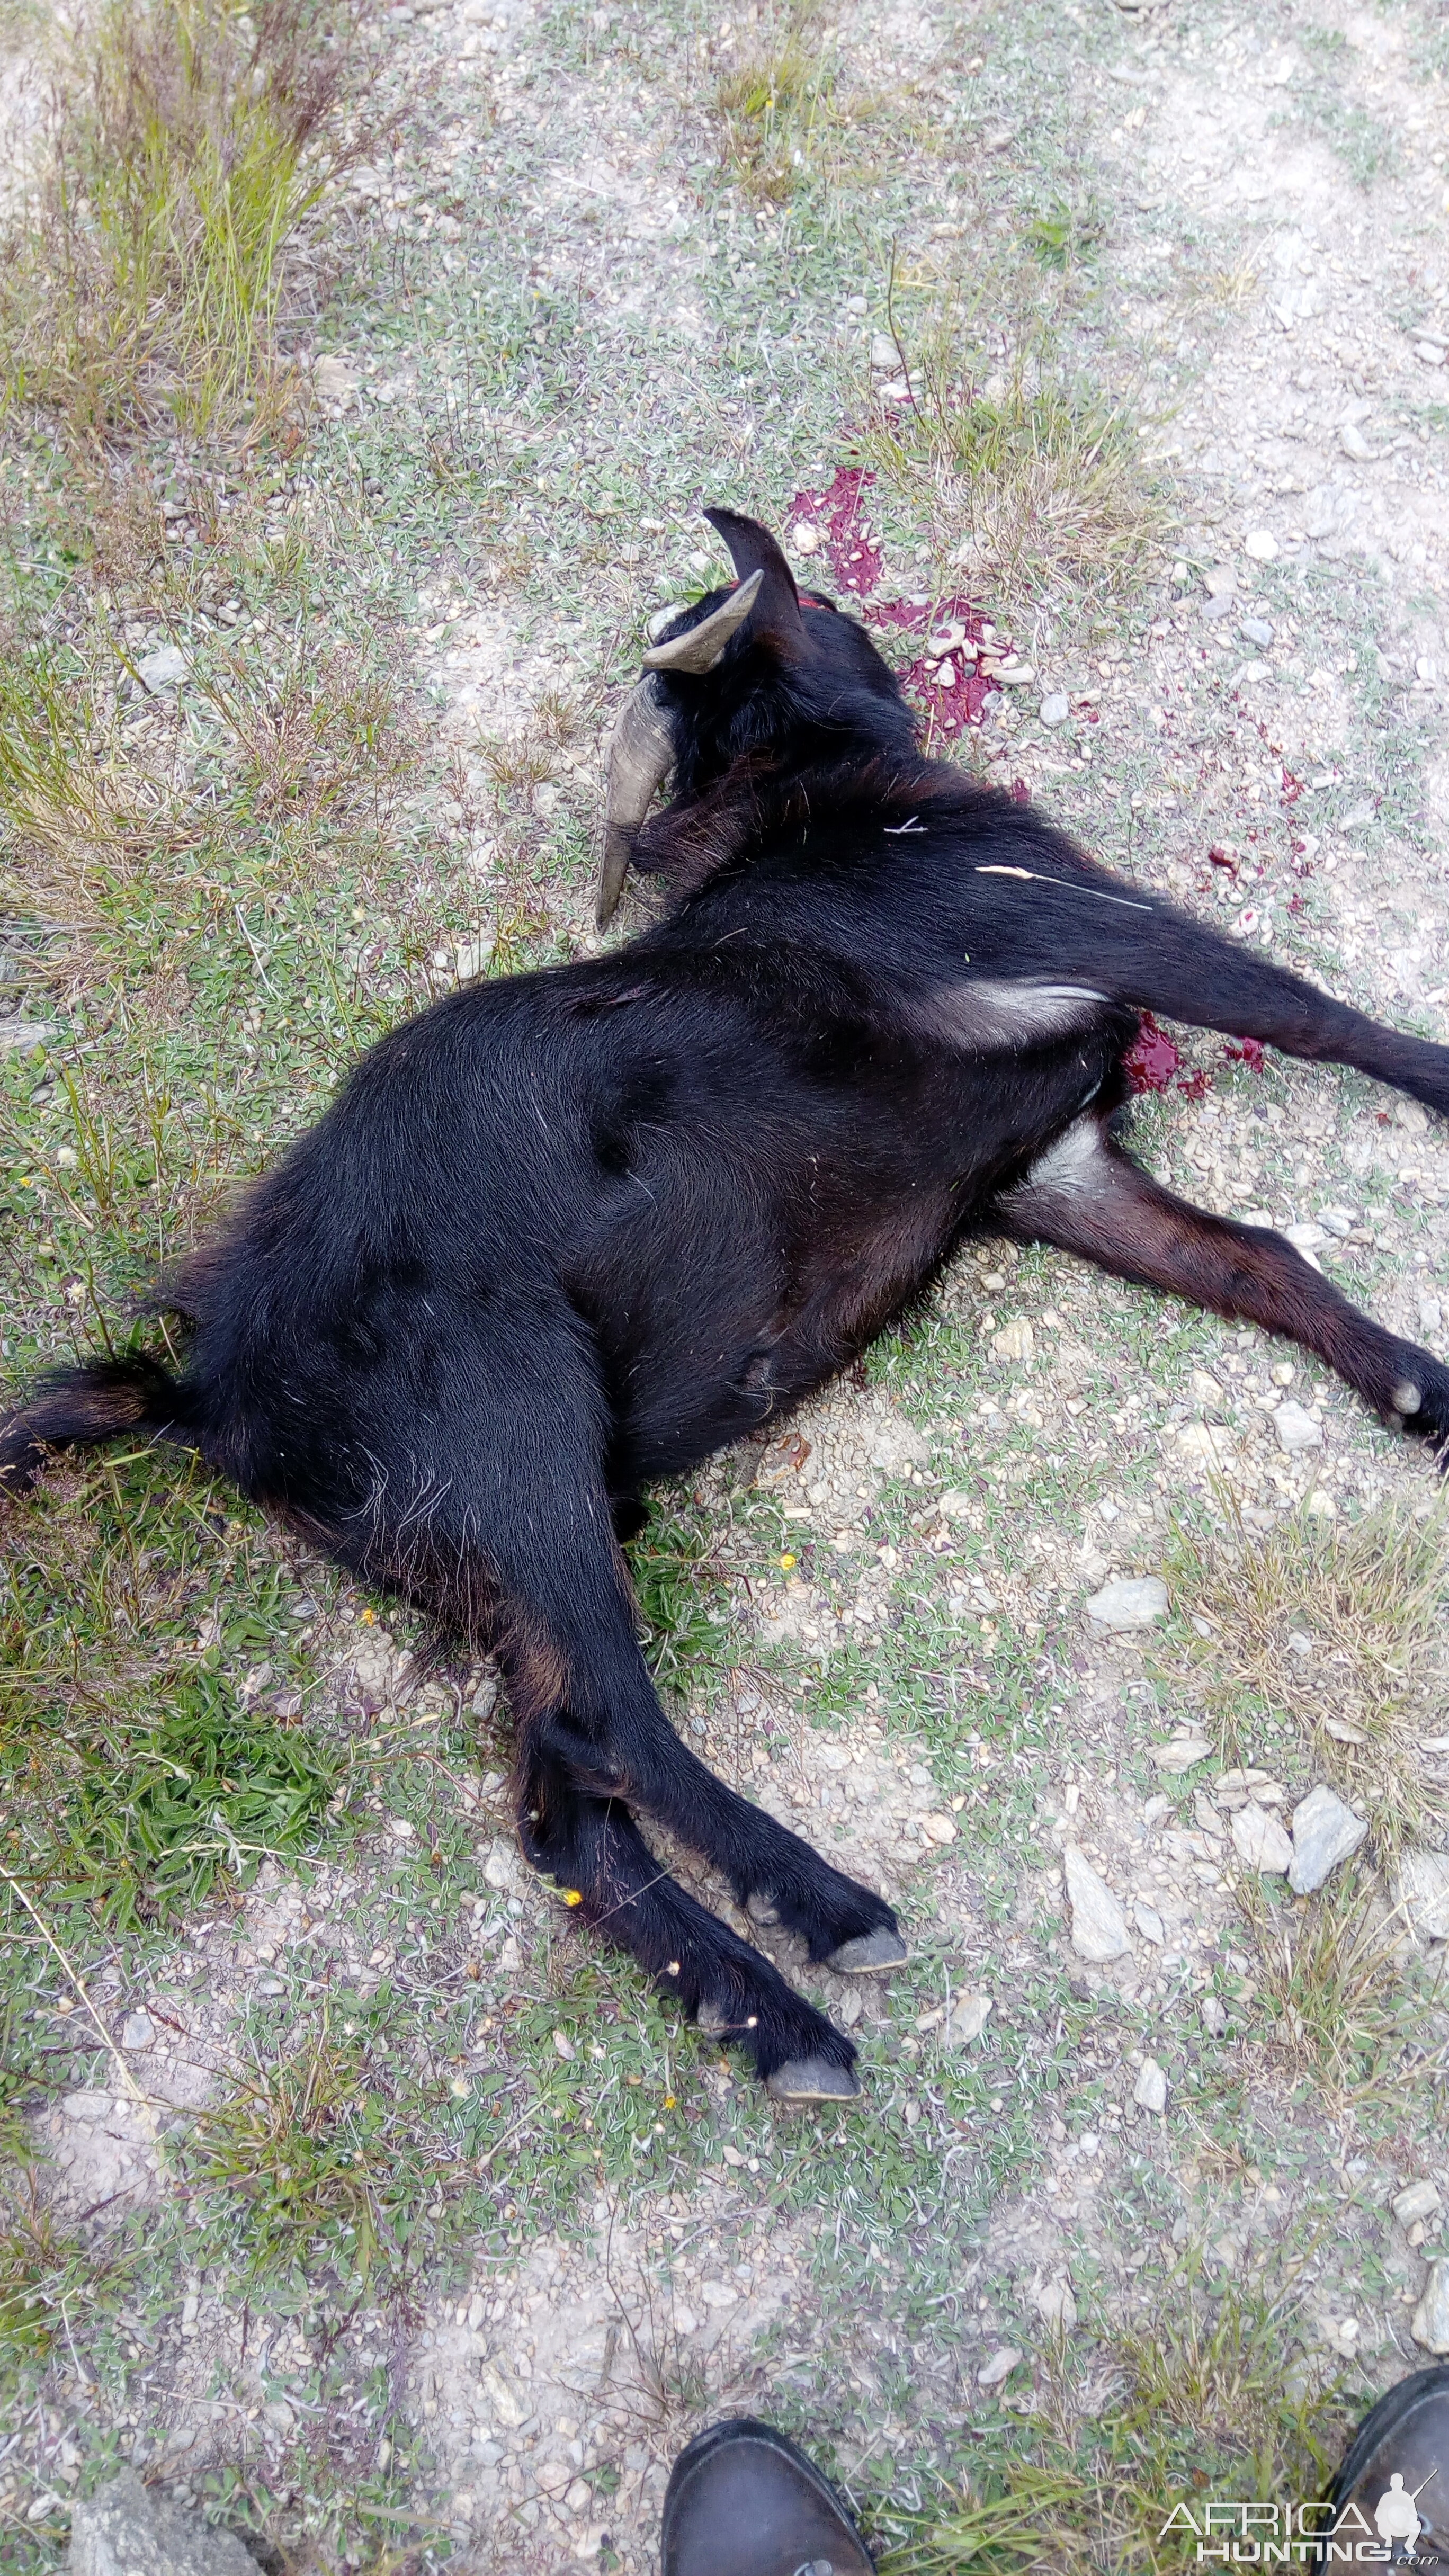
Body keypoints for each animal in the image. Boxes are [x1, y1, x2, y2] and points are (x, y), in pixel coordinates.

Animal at [3, 512, 1444, 2102]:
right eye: (798, 595)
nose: (847, 607)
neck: (814, 809)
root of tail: (212, 1387)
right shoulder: (1084, 931)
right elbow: (1317, 1013)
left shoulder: (1047, 1167)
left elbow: (1258, 1258)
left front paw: (1414, 1384)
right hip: (517, 1444)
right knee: (614, 1725)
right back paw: (812, 1902)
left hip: (486, 1549)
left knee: (562, 1815)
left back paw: (764, 2015)